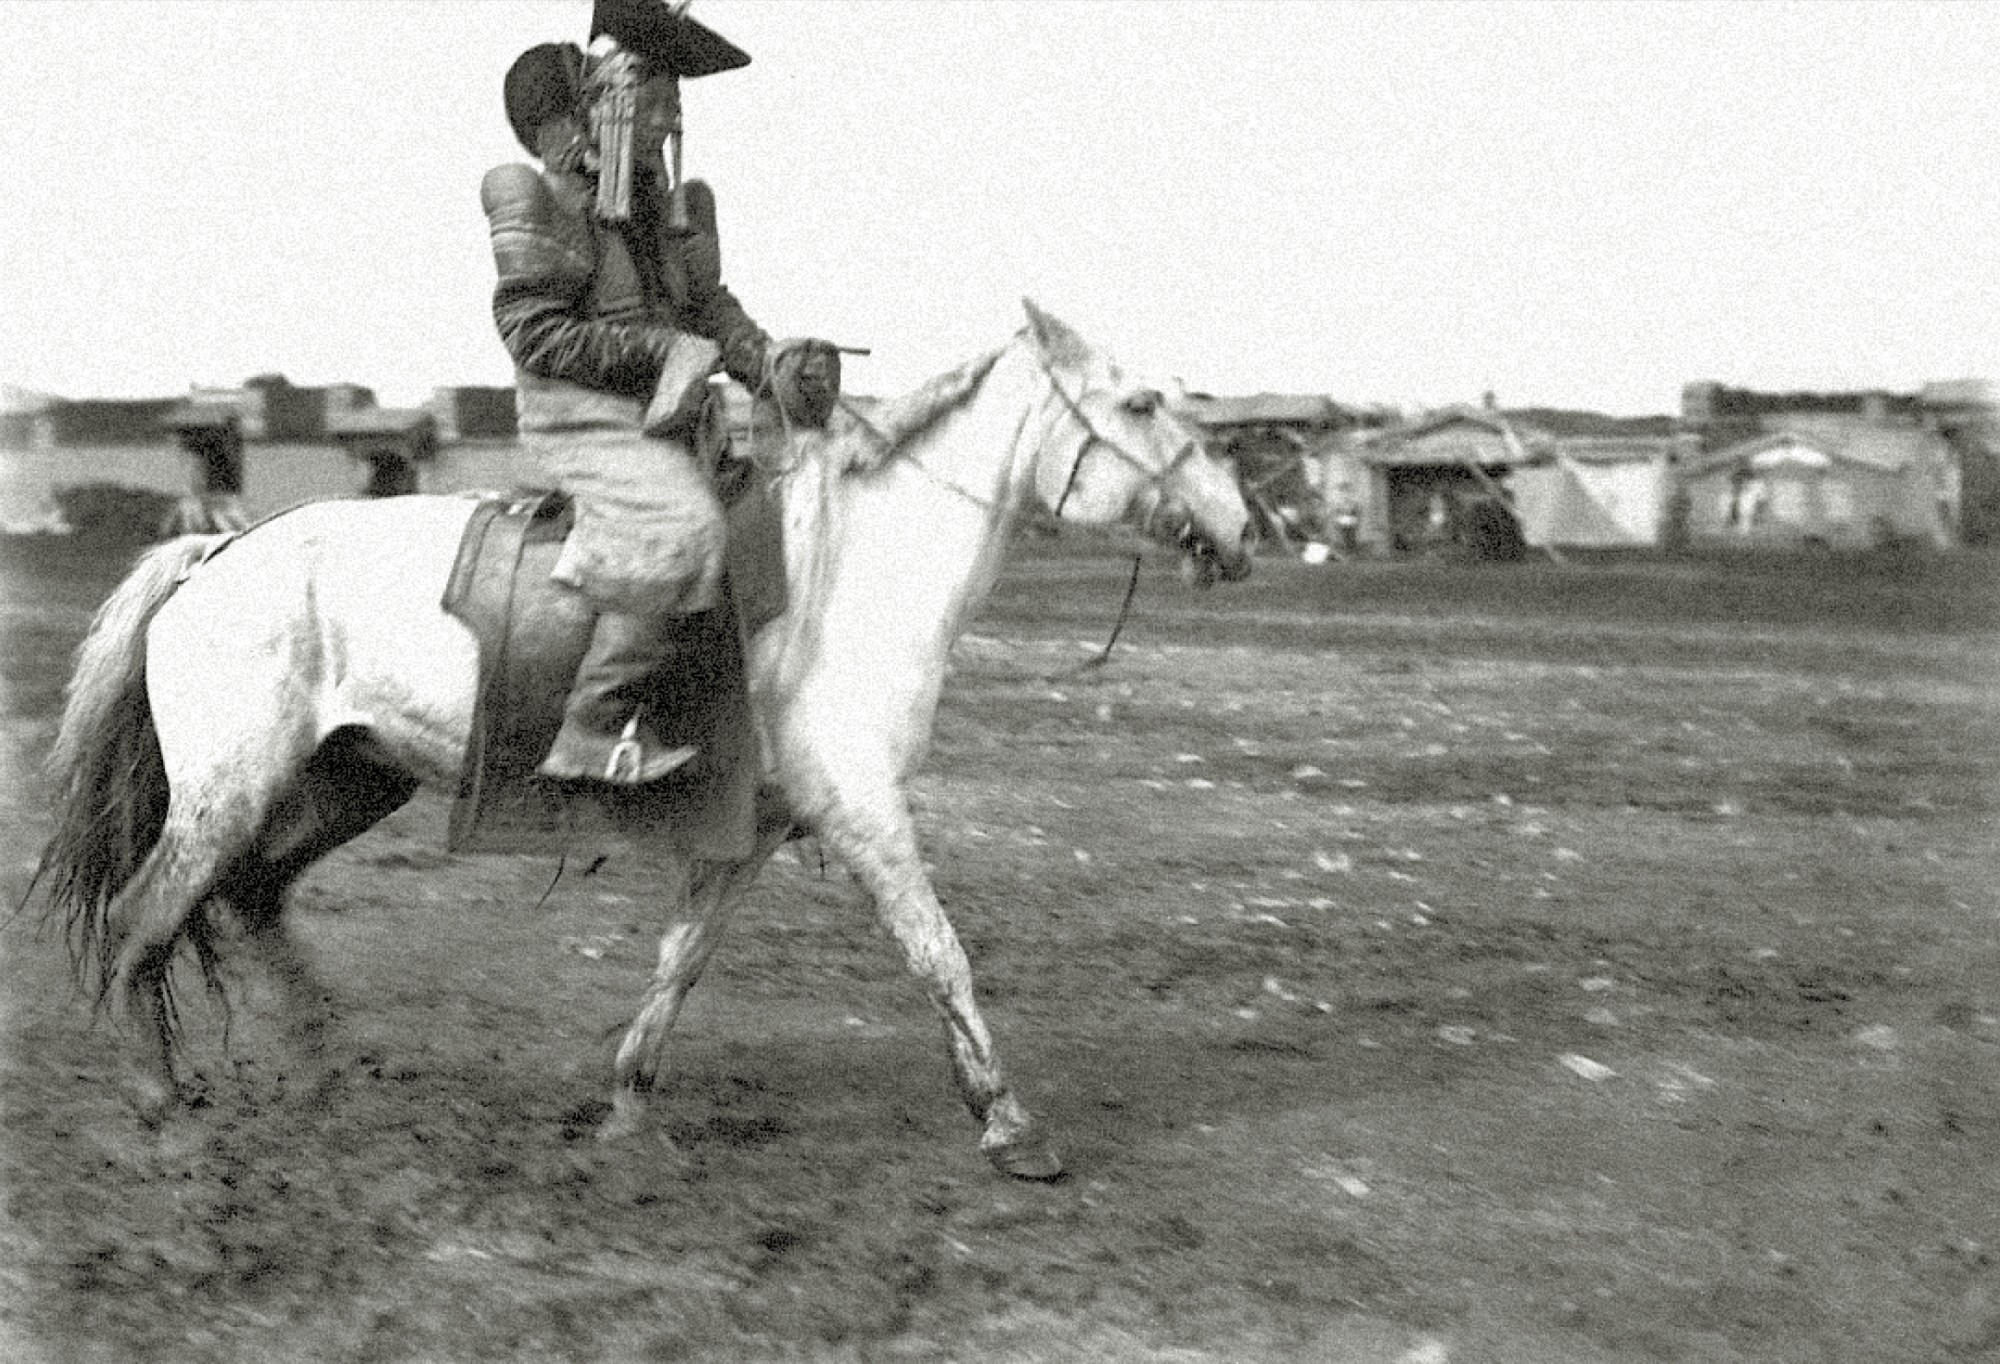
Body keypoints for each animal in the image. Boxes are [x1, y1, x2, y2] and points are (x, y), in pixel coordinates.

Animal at [35, 302, 1248, 1176]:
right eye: (1143, 402)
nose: (1243, 528)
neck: (848, 573)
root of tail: (210, 554)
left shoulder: (755, 830)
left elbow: (681, 960)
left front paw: (627, 1105)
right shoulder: (862, 808)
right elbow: (936, 949)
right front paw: (1010, 1126)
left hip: (347, 780)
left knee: (250, 896)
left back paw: (325, 1073)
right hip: (231, 787)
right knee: (149, 913)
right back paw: (165, 1110)